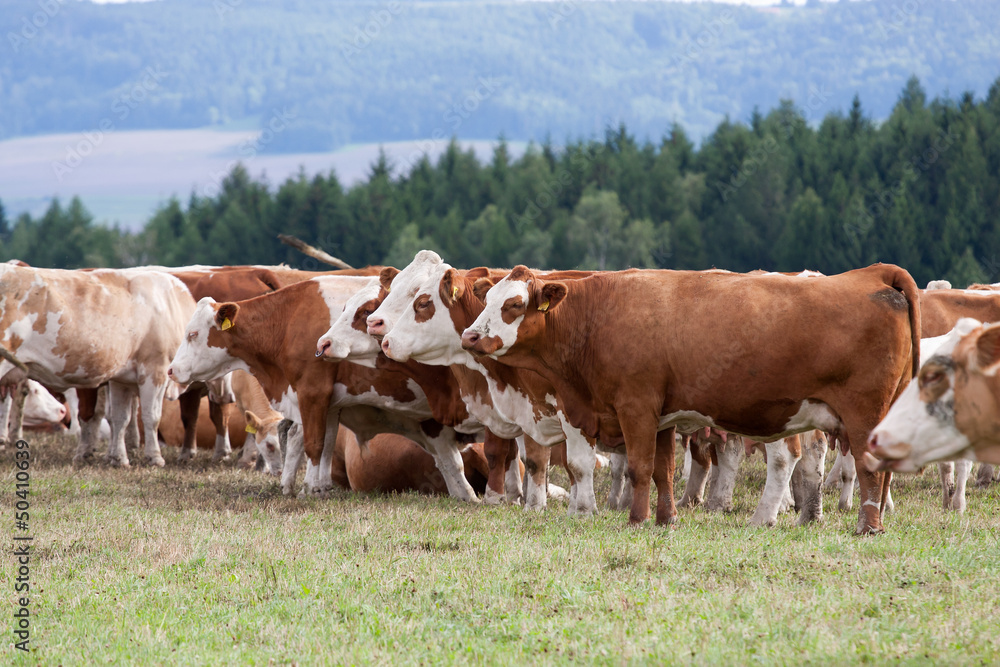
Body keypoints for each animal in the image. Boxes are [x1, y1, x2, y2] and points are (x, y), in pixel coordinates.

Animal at [0, 264, 197, 468]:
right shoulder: (155, 369)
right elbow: (152, 416)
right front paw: (155, 457)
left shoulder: (121, 379)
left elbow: (120, 418)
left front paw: (118, 458)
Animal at [168, 276, 480, 500]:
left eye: (192, 334)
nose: (171, 369)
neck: (290, 320)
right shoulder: (327, 402)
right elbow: (319, 441)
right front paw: (312, 486)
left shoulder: (312, 392)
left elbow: (313, 443)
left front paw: (309, 489)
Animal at [462, 264, 920, 536]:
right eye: (486, 299)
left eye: (514, 304)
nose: (469, 336)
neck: (597, 315)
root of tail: (873, 274)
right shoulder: (662, 416)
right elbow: (663, 471)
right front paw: (666, 519)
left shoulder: (636, 408)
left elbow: (637, 468)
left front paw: (634, 519)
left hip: (863, 414)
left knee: (866, 467)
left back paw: (868, 526)